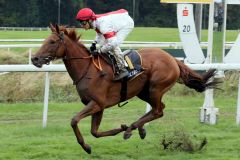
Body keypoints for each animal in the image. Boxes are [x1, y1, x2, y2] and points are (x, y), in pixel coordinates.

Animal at [31, 24, 218, 154]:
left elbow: (74, 120)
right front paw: (117, 129)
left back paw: (131, 128)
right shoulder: (98, 106)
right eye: (45, 40)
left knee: (158, 111)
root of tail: (173, 59)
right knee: (158, 109)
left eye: (52, 41)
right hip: (144, 92)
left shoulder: (97, 103)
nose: (34, 59)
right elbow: (95, 132)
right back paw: (138, 129)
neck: (88, 69)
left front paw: (86, 147)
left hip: (155, 88)